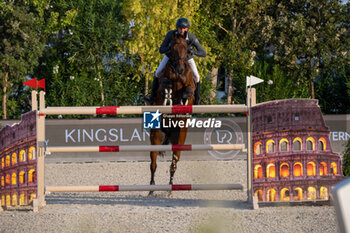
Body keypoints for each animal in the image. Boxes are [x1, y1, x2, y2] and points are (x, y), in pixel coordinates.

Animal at [148, 31, 196, 195]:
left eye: (186, 48)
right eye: (172, 48)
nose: (180, 69)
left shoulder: (190, 85)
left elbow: (188, 91)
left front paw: (182, 101)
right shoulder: (163, 82)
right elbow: (165, 84)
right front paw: (168, 97)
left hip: (179, 138)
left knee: (173, 164)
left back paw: (170, 189)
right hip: (156, 136)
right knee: (153, 164)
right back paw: (151, 189)